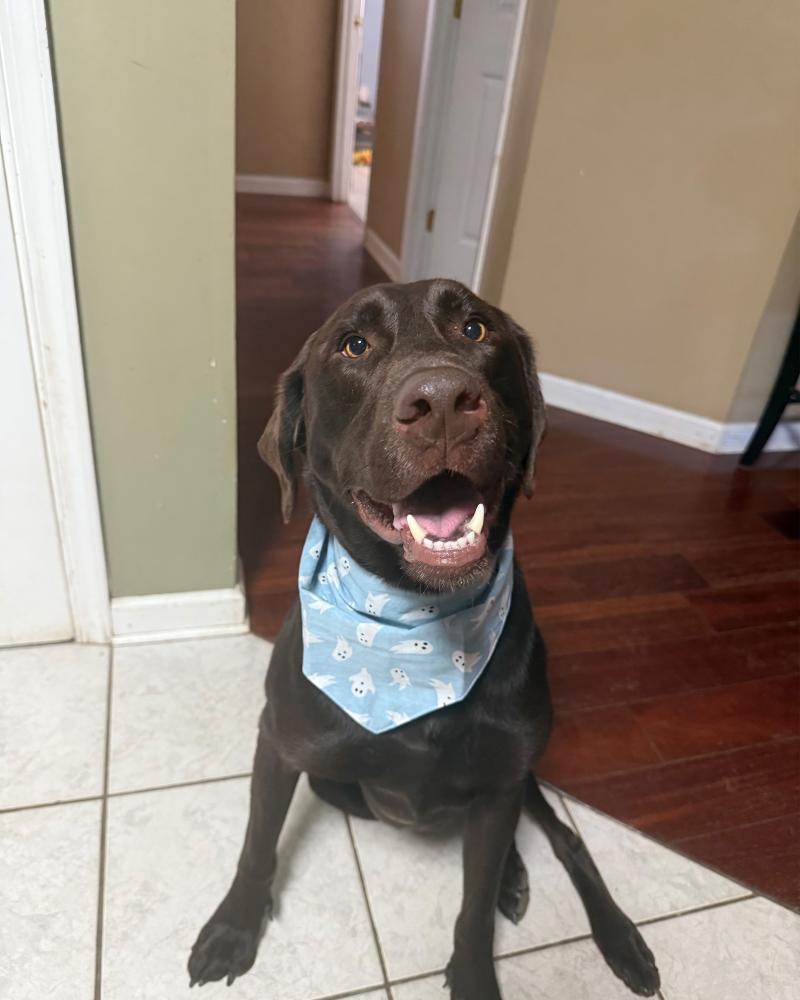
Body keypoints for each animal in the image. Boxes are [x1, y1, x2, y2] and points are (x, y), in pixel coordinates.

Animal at [188, 279, 660, 999]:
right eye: (353, 345)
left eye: (475, 329)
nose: (442, 401)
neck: (414, 630)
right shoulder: (283, 744)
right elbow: (257, 843)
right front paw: (235, 927)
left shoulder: (502, 778)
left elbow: (473, 904)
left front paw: (474, 972)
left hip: (521, 778)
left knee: (563, 842)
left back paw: (611, 933)